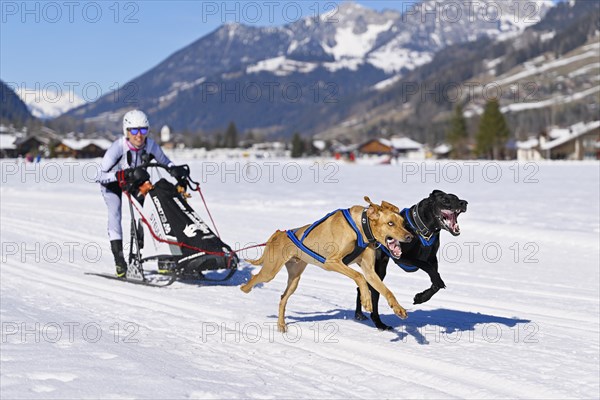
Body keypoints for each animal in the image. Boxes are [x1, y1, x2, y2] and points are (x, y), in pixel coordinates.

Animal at [241, 196, 414, 332]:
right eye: (390, 223)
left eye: (403, 223)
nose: (410, 237)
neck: (360, 227)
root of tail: (278, 233)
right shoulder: (332, 262)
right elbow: (359, 276)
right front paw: (366, 300)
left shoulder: (370, 271)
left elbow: (386, 290)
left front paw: (398, 308)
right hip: (270, 271)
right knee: (256, 277)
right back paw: (245, 288)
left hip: (294, 279)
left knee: (283, 298)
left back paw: (281, 325)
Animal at [354, 191, 466, 332]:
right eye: (445, 200)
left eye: (456, 198)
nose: (464, 203)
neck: (423, 229)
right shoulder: (403, 258)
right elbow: (426, 266)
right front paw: (436, 282)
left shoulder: (432, 258)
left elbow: (435, 281)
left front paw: (421, 297)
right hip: (378, 270)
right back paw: (377, 322)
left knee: (361, 288)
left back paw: (360, 314)